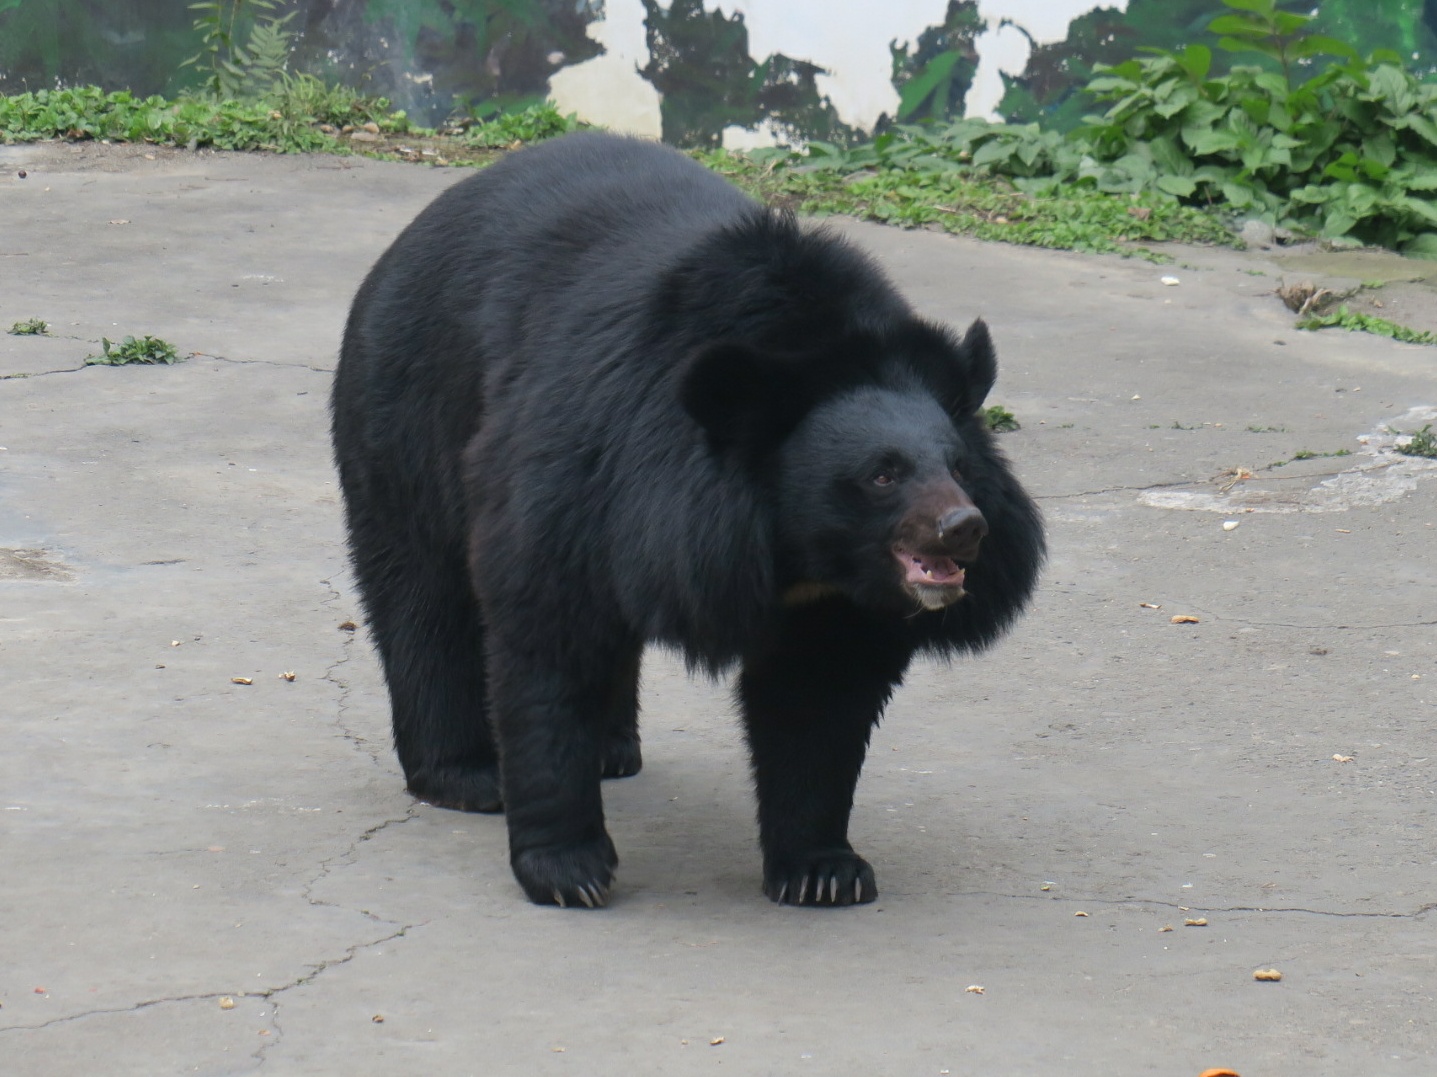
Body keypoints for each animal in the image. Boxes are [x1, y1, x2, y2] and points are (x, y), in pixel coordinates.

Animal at [331, 132, 1044, 908]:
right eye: (883, 473)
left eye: (957, 465)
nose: (963, 528)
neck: (798, 549)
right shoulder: (583, 477)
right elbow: (546, 636)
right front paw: (569, 871)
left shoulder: (838, 604)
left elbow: (817, 700)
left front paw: (823, 870)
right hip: (407, 412)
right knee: (423, 590)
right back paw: (464, 774)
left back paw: (613, 749)